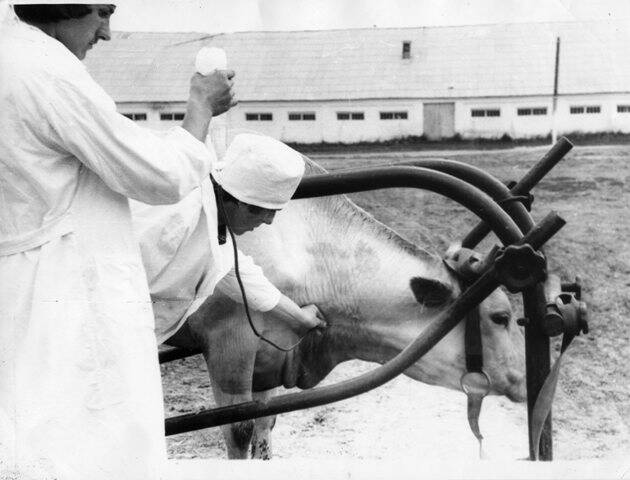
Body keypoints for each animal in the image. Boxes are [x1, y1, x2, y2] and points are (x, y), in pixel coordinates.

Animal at [164, 159, 528, 460]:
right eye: (501, 317)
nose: (524, 379)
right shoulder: (229, 344)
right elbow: (239, 430)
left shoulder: (269, 356)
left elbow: (264, 424)